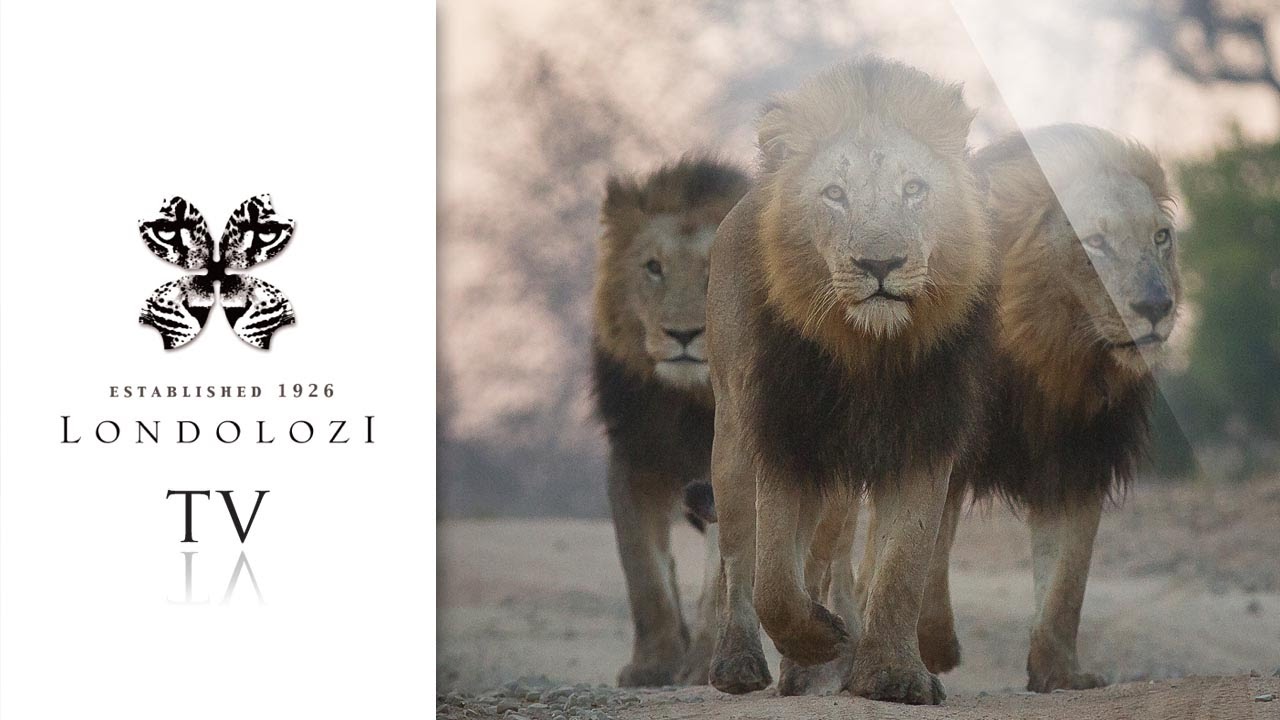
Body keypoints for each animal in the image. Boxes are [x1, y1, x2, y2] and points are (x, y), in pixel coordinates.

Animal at [592, 156, 750, 687]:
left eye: (713, 267)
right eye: (653, 268)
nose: (683, 334)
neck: (688, 401)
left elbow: (719, 584)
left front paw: (703, 666)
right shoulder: (632, 460)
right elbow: (645, 575)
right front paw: (653, 666)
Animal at [705, 58, 995, 705]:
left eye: (914, 189)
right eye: (834, 195)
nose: (880, 264)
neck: (869, 353)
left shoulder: (924, 438)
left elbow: (901, 568)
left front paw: (891, 675)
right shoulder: (785, 432)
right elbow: (772, 580)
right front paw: (819, 641)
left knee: (824, 556)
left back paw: (808, 669)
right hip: (734, 435)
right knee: (738, 558)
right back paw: (742, 665)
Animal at [909, 124, 1182, 693]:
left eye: (1160, 237)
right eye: (1095, 242)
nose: (1156, 306)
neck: (1053, 354)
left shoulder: (1078, 458)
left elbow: (1067, 580)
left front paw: (1059, 673)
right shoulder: (945, 446)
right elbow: (930, 550)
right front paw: (935, 648)